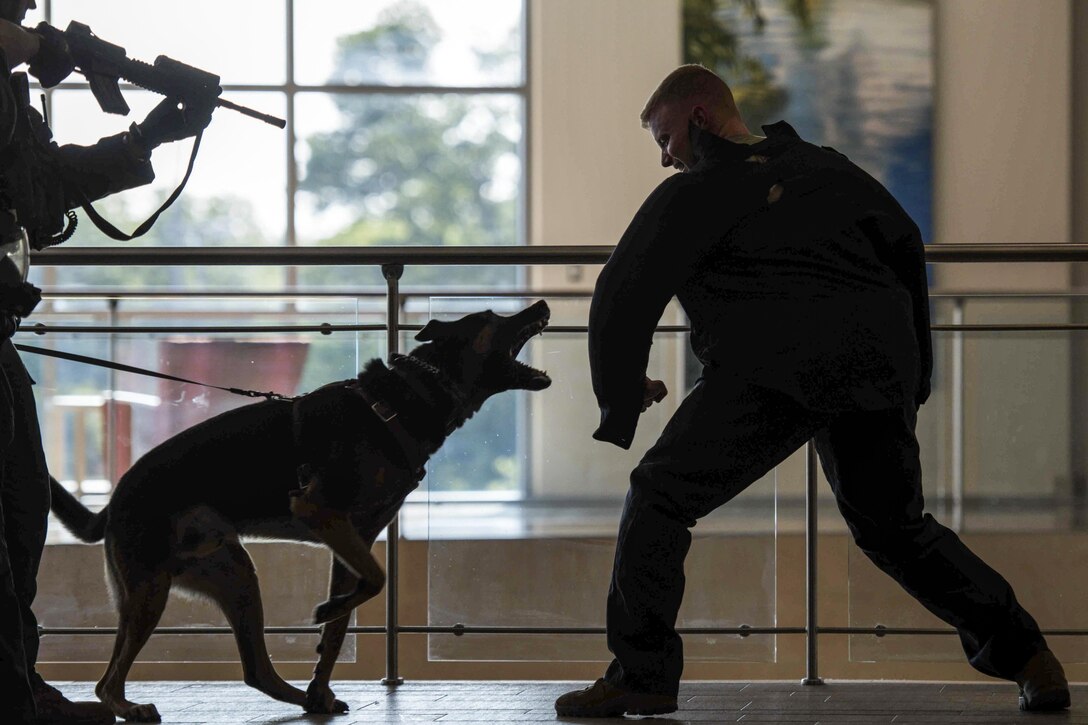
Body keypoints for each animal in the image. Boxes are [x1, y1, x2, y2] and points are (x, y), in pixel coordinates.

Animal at [48, 298, 552, 718]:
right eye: (491, 317)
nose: (543, 304)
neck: (407, 399)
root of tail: (113, 501)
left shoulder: (352, 540)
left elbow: (345, 621)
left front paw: (321, 683)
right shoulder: (321, 513)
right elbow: (376, 581)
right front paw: (328, 611)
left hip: (230, 574)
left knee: (254, 671)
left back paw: (300, 698)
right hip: (152, 587)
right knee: (108, 683)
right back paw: (128, 706)